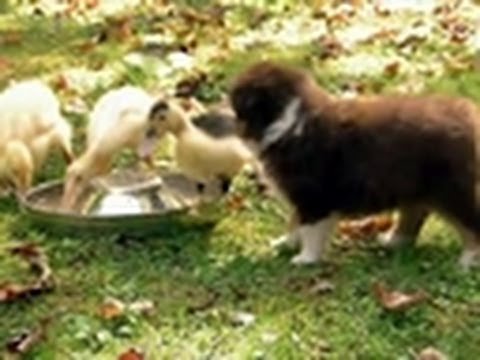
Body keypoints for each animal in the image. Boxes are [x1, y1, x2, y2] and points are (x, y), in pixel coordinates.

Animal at [230, 61, 480, 268]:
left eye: (235, 106)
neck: (289, 122)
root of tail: (470, 117)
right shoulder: (300, 198)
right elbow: (295, 221)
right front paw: (285, 243)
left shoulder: (313, 198)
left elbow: (310, 229)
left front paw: (305, 258)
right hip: (416, 187)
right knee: (415, 213)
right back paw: (393, 241)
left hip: (451, 190)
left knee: (469, 223)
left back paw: (468, 260)